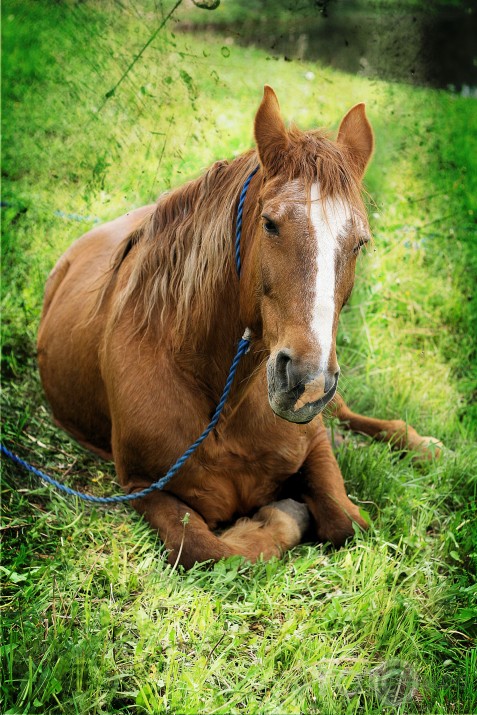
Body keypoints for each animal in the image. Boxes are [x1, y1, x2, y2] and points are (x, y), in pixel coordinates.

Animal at [37, 86, 438, 568]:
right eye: (269, 223)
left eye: (360, 242)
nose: (306, 383)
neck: (221, 401)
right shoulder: (140, 488)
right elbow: (210, 549)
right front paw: (282, 516)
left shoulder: (315, 442)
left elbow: (347, 520)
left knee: (351, 416)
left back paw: (422, 445)